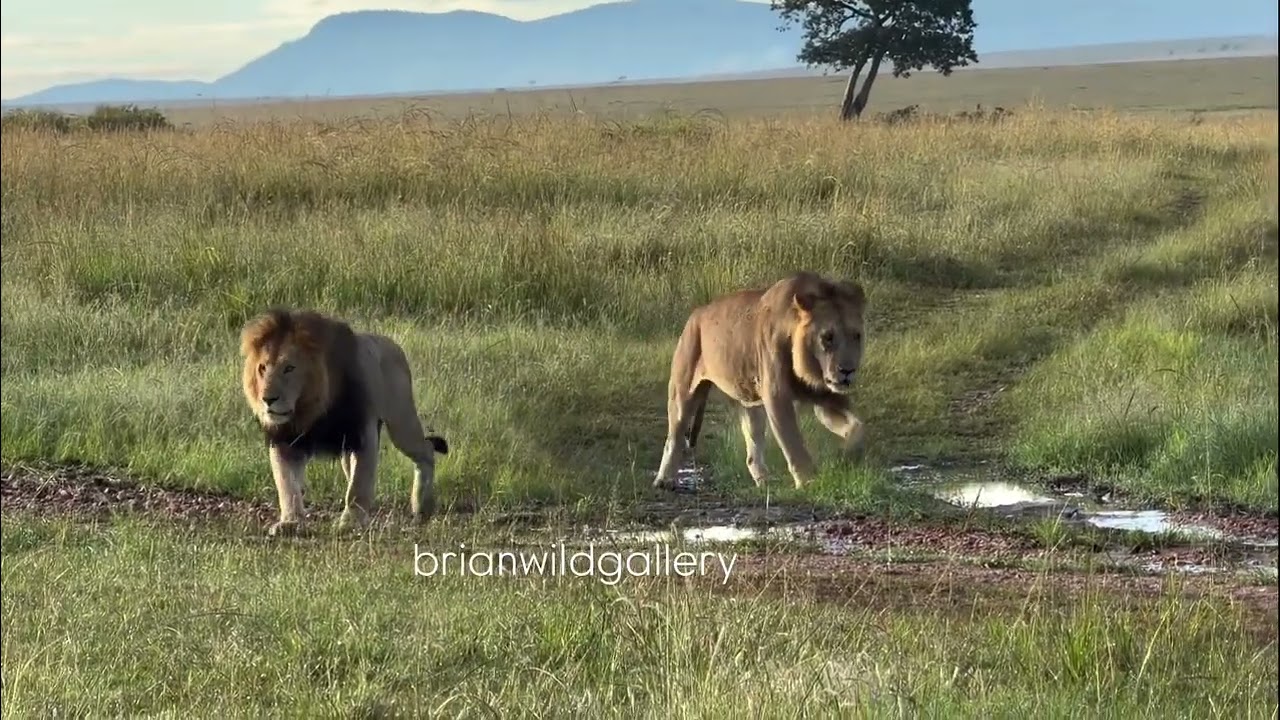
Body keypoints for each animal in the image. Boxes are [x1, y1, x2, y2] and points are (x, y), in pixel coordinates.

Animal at [239, 308, 449, 536]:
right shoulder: (284, 440)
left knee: (426, 449)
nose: (267, 399)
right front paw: (291, 522)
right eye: (262, 368)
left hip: (402, 423)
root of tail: (389, 342)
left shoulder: (363, 433)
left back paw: (422, 505)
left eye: (289, 368)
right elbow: (287, 484)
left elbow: (358, 484)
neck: (311, 410)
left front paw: (351, 522)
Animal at [652, 272, 867, 491]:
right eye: (827, 337)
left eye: (856, 336)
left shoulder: (826, 397)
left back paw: (764, 481)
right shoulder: (777, 395)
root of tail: (696, 313)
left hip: (749, 401)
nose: (847, 371)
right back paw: (664, 480)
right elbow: (793, 442)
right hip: (683, 391)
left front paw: (847, 454)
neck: (809, 368)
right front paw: (809, 482)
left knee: (752, 448)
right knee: (674, 438)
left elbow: (858, 428)